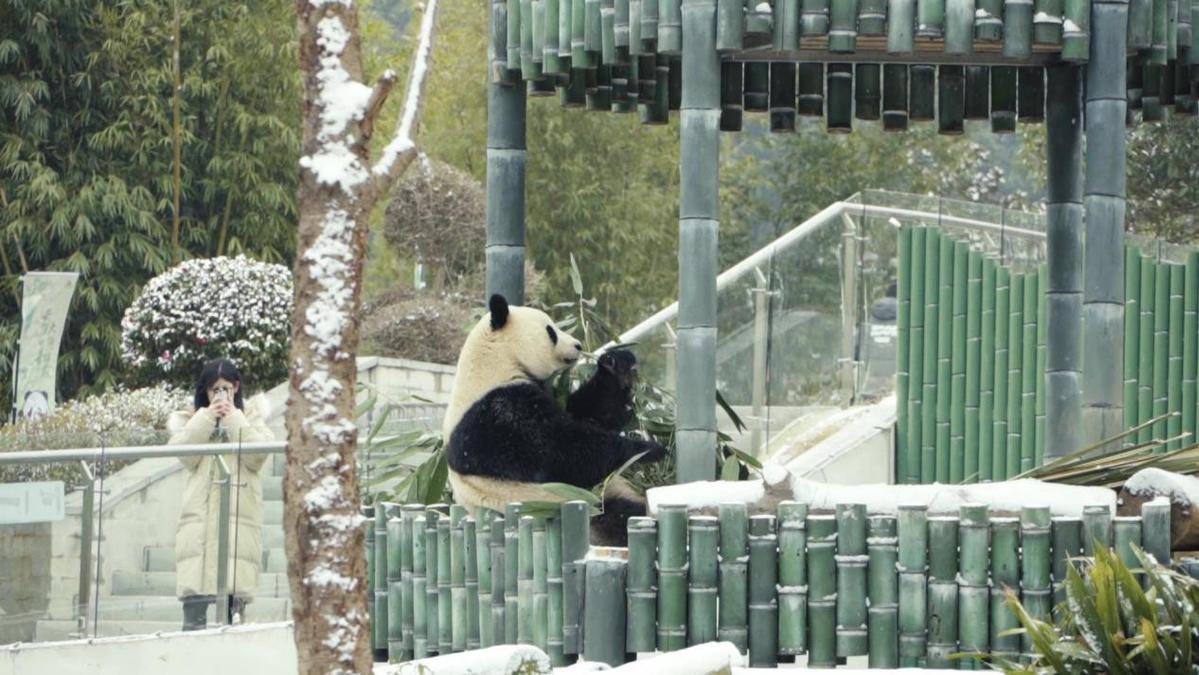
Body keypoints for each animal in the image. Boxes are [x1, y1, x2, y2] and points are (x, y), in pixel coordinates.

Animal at [443, 294, 666, 544]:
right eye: (551, 331)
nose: (578, 345)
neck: (493, 362)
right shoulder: (493, 417)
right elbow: (559, 452)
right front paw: (647, 450)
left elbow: (589, 413)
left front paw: (617, 365)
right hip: (572, 505)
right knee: (619, 516)